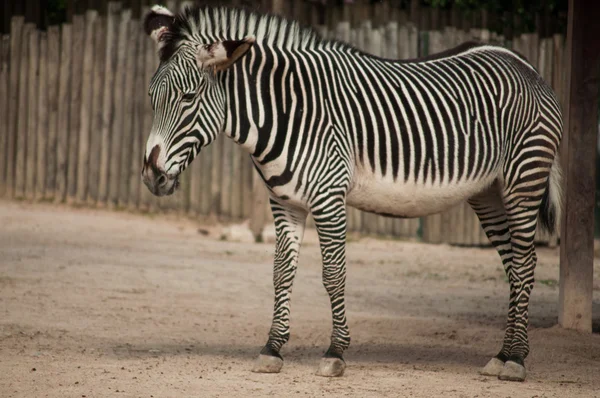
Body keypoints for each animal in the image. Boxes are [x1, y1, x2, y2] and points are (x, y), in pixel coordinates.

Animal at [141, 3, 564, 382]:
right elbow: (281, 272)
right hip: (488, 192)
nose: (152, 176)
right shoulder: (285, 203)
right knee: (514, 265)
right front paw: (272, 349)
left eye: (188, 98)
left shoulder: (329, 198)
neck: (287, 112)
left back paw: (516, 361)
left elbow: (333, 274)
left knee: (525, 264)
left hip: (523, 180)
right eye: (151, 97)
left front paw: (335, 352)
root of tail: (522, 63)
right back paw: (503, 354)